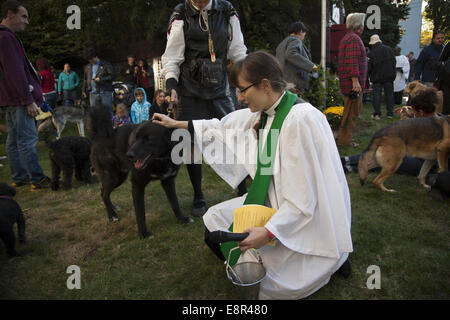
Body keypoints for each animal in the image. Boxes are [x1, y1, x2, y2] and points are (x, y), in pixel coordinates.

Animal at [87, 104, 193, 239]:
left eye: (149, 139)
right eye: (136, 137)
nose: (129, 155)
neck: (161, 159)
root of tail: (99, 134)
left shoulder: (168, 181)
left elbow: (175, 203)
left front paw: (182, 219)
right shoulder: (137, 184)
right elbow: (140, 212)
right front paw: (143, 234)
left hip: (119, 177)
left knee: (103, 192)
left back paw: (113, 209)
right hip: (113, 177)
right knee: (104, 193)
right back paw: (112, 216)